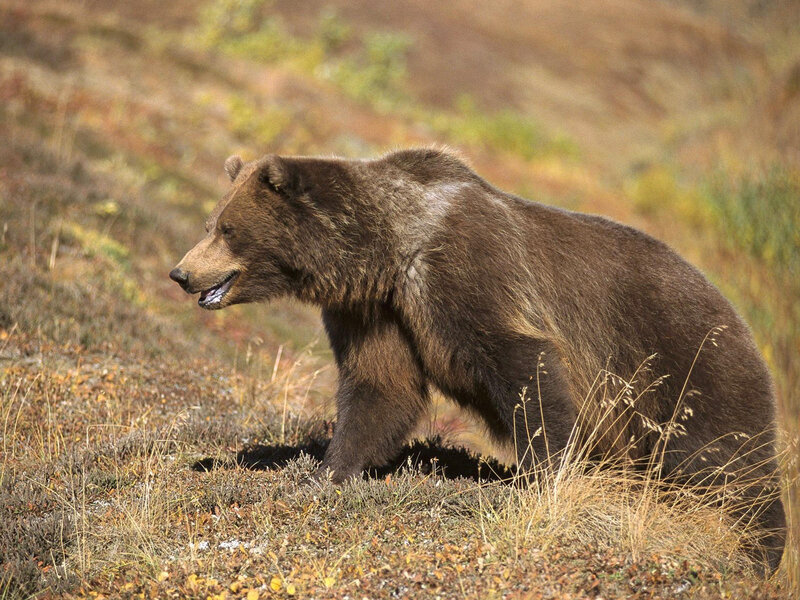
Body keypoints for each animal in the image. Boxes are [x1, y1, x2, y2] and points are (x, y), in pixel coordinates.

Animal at [170, 148, 785, 572]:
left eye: (227, 228)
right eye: (210, 223)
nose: (181, 273)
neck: (388, 247)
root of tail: (744, 320)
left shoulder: (464, 272)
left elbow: (523, 367)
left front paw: (546, 477)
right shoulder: (378, 311)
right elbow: (380, 389)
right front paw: (327, 471)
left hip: (685, 365)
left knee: (724, 463)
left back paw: (760, 551)